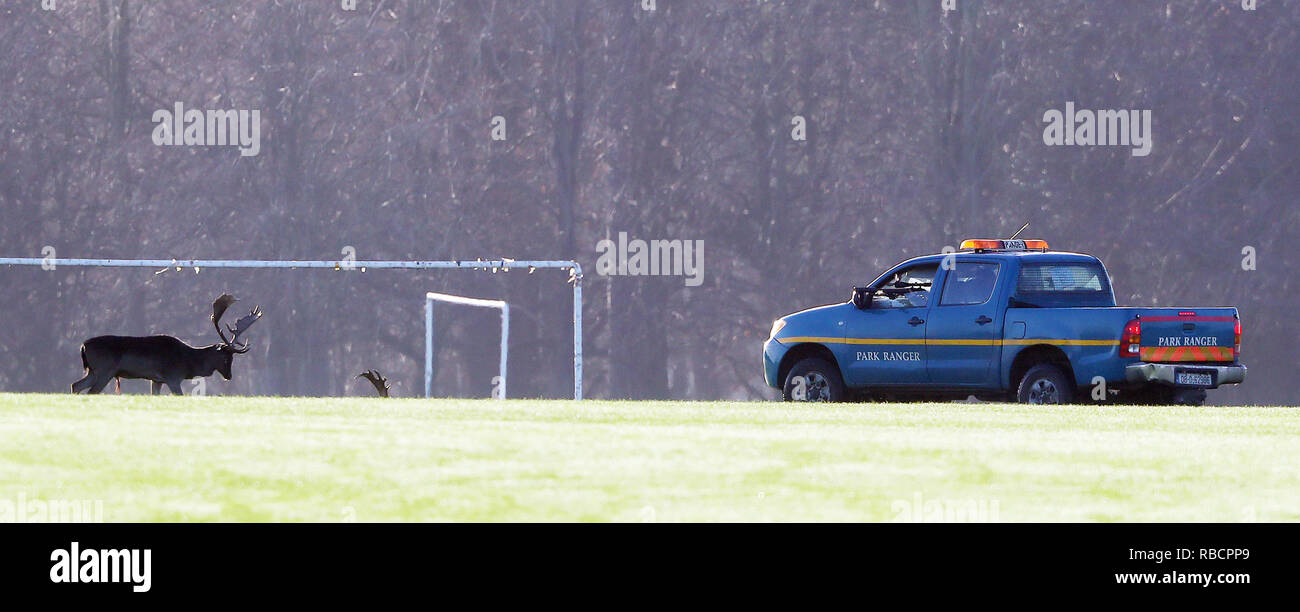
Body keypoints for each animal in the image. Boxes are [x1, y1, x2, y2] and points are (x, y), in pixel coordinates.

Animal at [71, 294, 263, 395]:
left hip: (94, 370)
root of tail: (83, 346)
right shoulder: (173, 376)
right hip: (105, 370)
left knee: (76, 385)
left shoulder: (157, 380)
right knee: (91, 391)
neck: (189, 362)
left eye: (232, 358)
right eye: (224, 357)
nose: (229, 376)